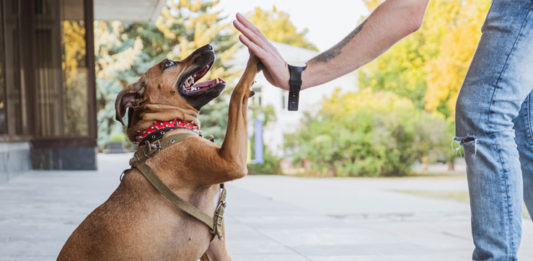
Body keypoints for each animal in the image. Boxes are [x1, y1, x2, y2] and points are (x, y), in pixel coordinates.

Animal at [57, 43, 258, 258]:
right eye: (168, 64)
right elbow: (238, 93)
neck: (164, 129)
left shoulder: (216, 246)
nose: (210, 46)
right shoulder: (231, 161)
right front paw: (255, 56)